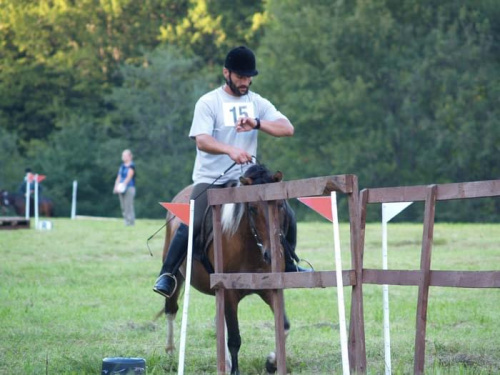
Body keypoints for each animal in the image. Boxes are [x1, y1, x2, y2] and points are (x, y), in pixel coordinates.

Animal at [161, 165, 290, 375]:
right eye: (252, 208)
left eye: (280, 205)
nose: (273, 255)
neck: (250, 247)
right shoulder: (229, 293)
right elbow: (235, 339)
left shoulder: (270, 290)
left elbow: (283, 327)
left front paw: (272, 362)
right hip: (177, 278)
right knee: (171, 310)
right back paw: (171, 353)